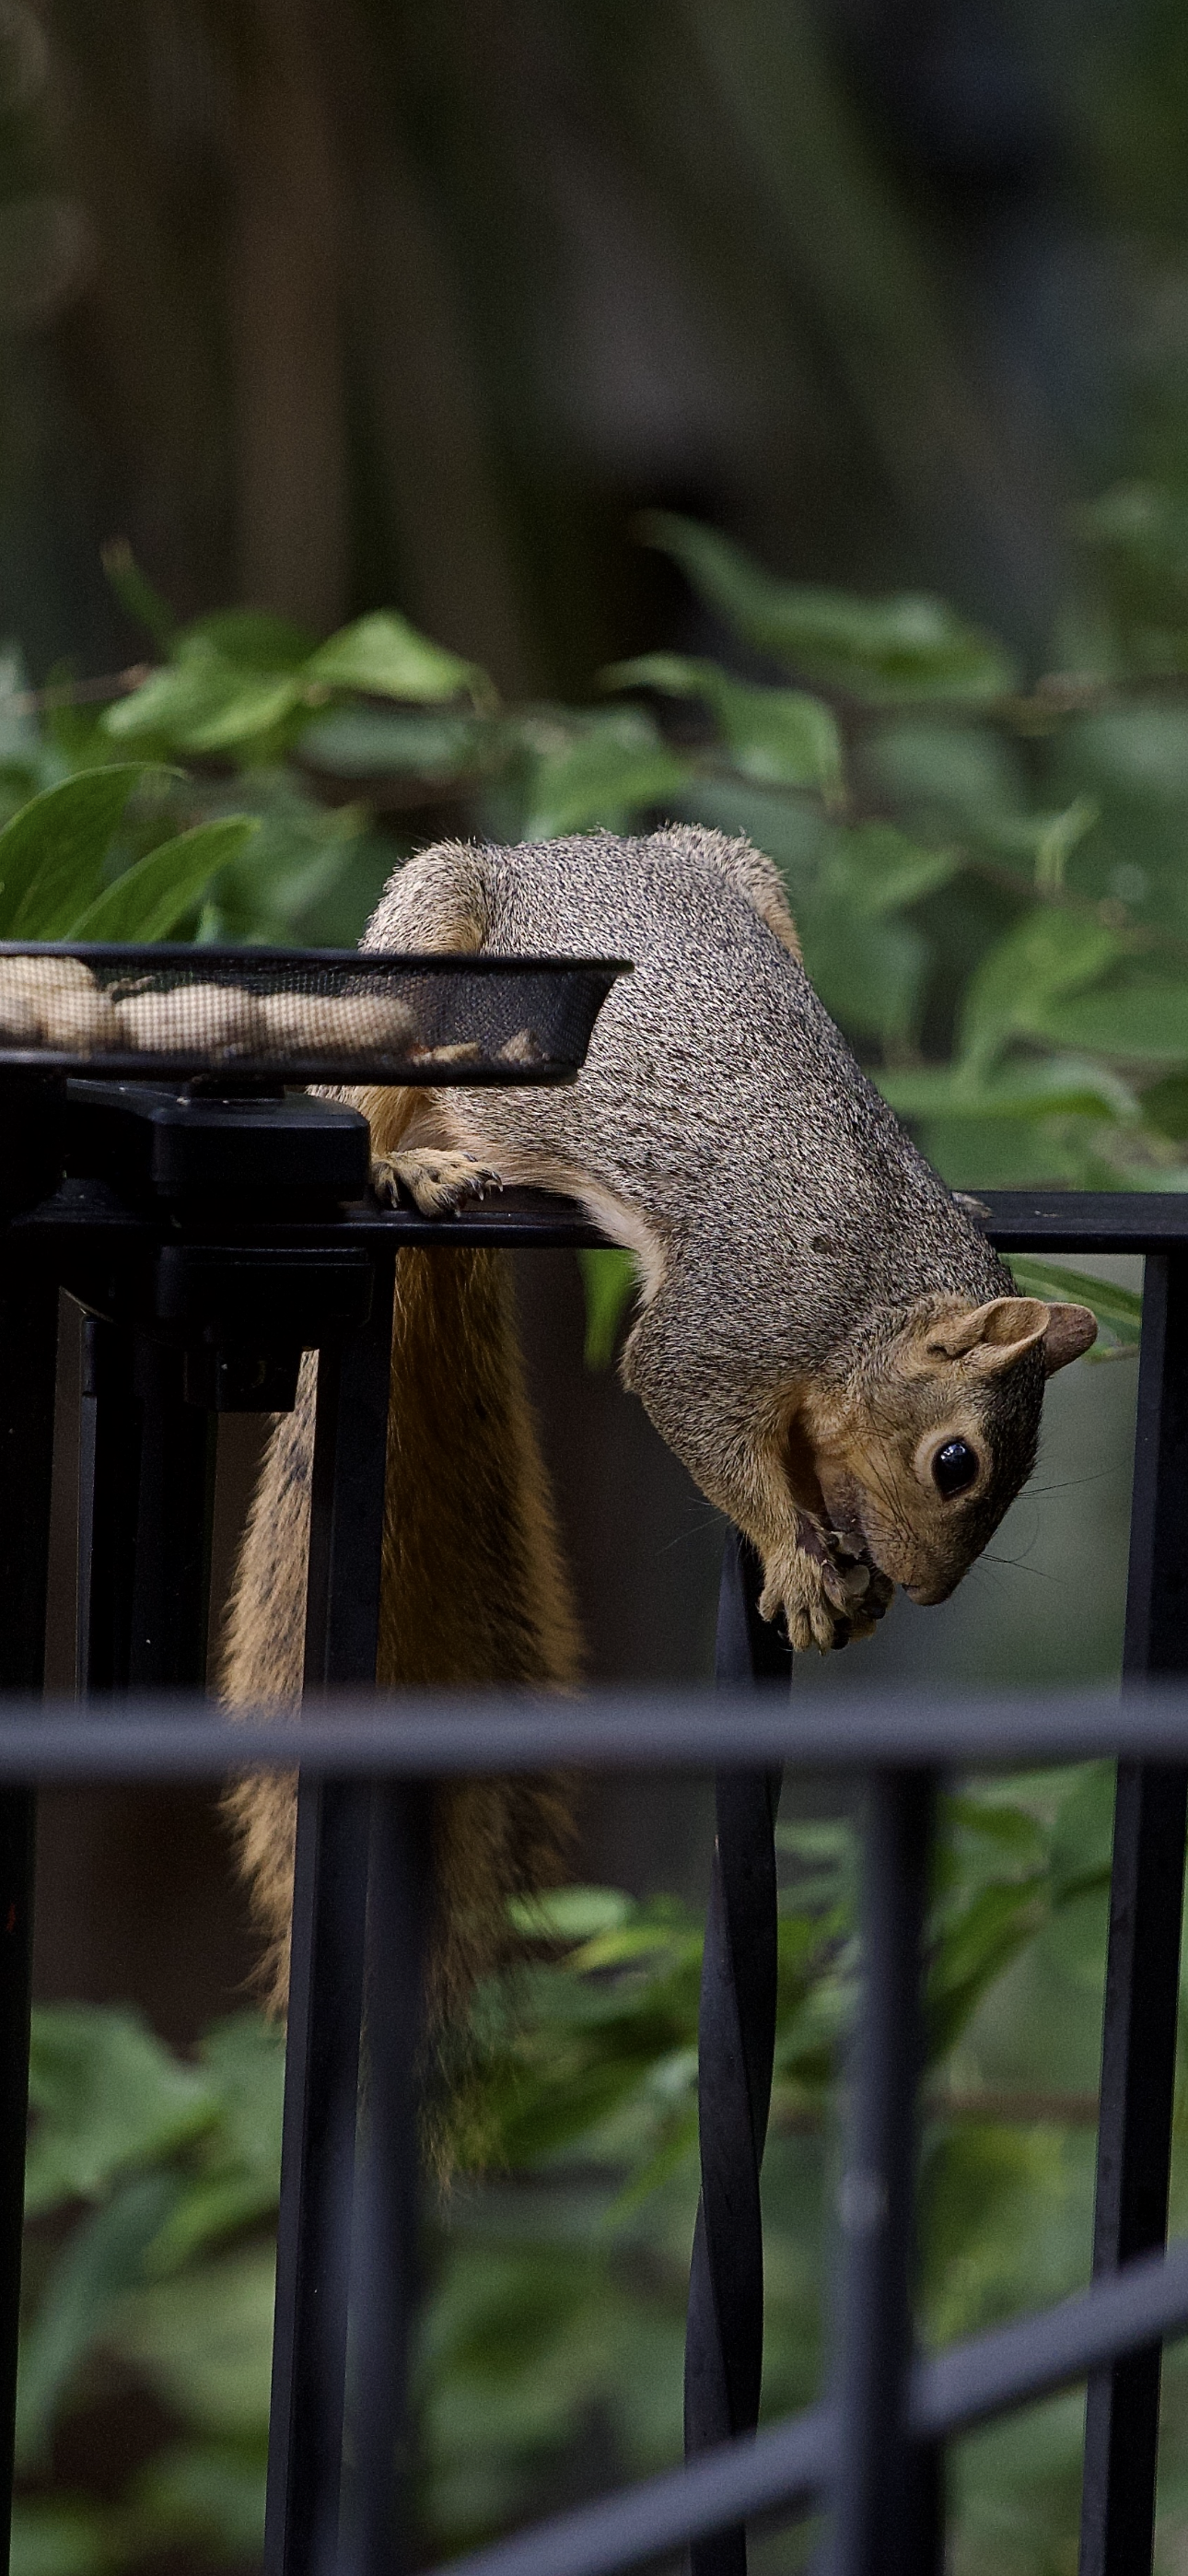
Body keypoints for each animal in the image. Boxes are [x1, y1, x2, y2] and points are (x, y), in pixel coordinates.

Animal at [221, 824, 1097, 2016]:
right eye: (955, 1462)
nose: (925, 1589)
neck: (877, 1287)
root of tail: (556, 850)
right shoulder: (735, 1316)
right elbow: (688, 1399)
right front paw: (796, 1561)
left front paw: (842, 1568)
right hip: (422, 942)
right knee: (372, 1091)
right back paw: (404, 1160)